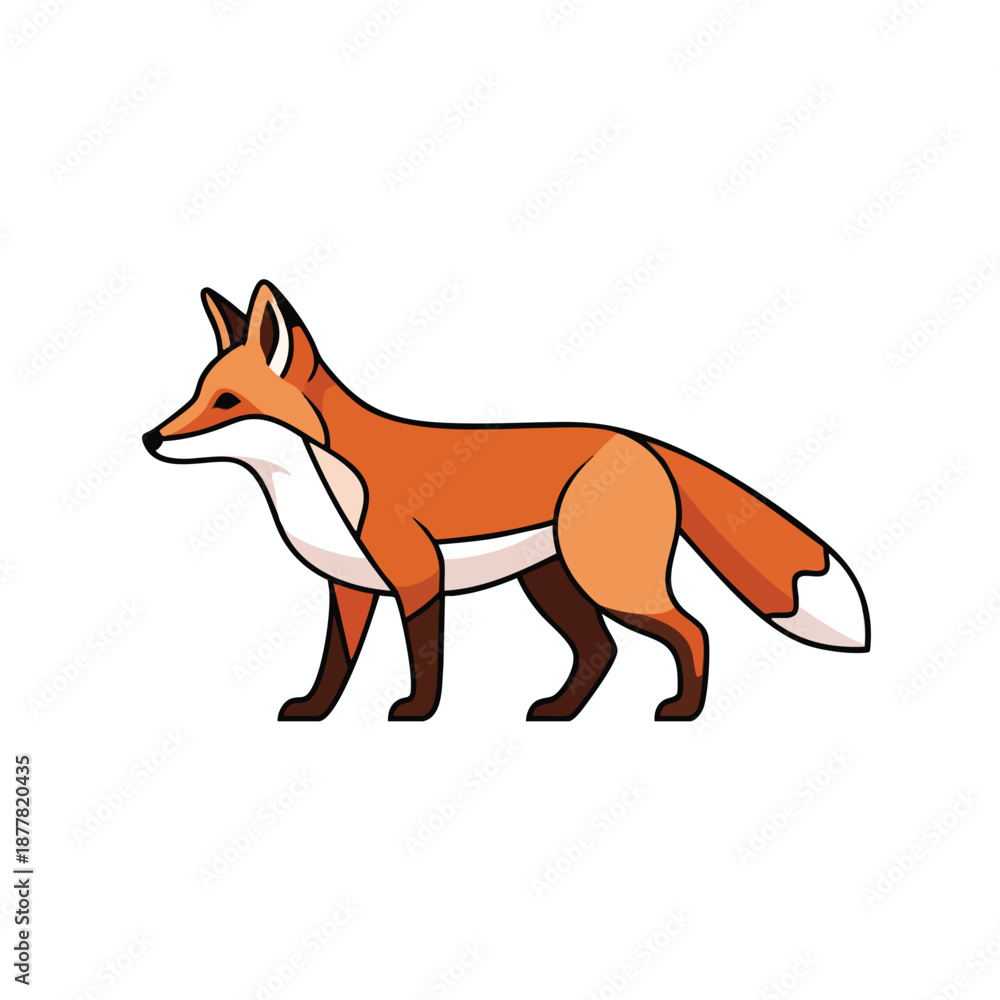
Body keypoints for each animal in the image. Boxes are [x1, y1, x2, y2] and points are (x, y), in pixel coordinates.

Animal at [144, 279, 870, 722]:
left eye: (228, 402)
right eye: (197, 393)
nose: (150, 438)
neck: (317, 484)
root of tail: (637, 440)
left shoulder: (417, 578)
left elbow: (424, 659)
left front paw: (417, 713)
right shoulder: (348, 589)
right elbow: (334, 665)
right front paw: (315, 711)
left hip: (609, 582)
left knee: (692, 630)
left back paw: (683, 711)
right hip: (552, 583)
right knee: (601, 651)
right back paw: (561, 712)